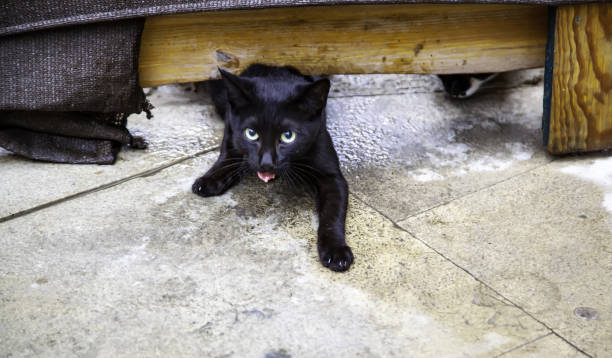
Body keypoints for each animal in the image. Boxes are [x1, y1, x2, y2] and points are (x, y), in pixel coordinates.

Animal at [191, 64, 354, 272]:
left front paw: (336, 251)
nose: (266, 163)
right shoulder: (231, 128)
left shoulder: (331, 174)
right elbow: (228, 155)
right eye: (251, 133)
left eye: (288, 136)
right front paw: (209, 179)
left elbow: (332, 214)